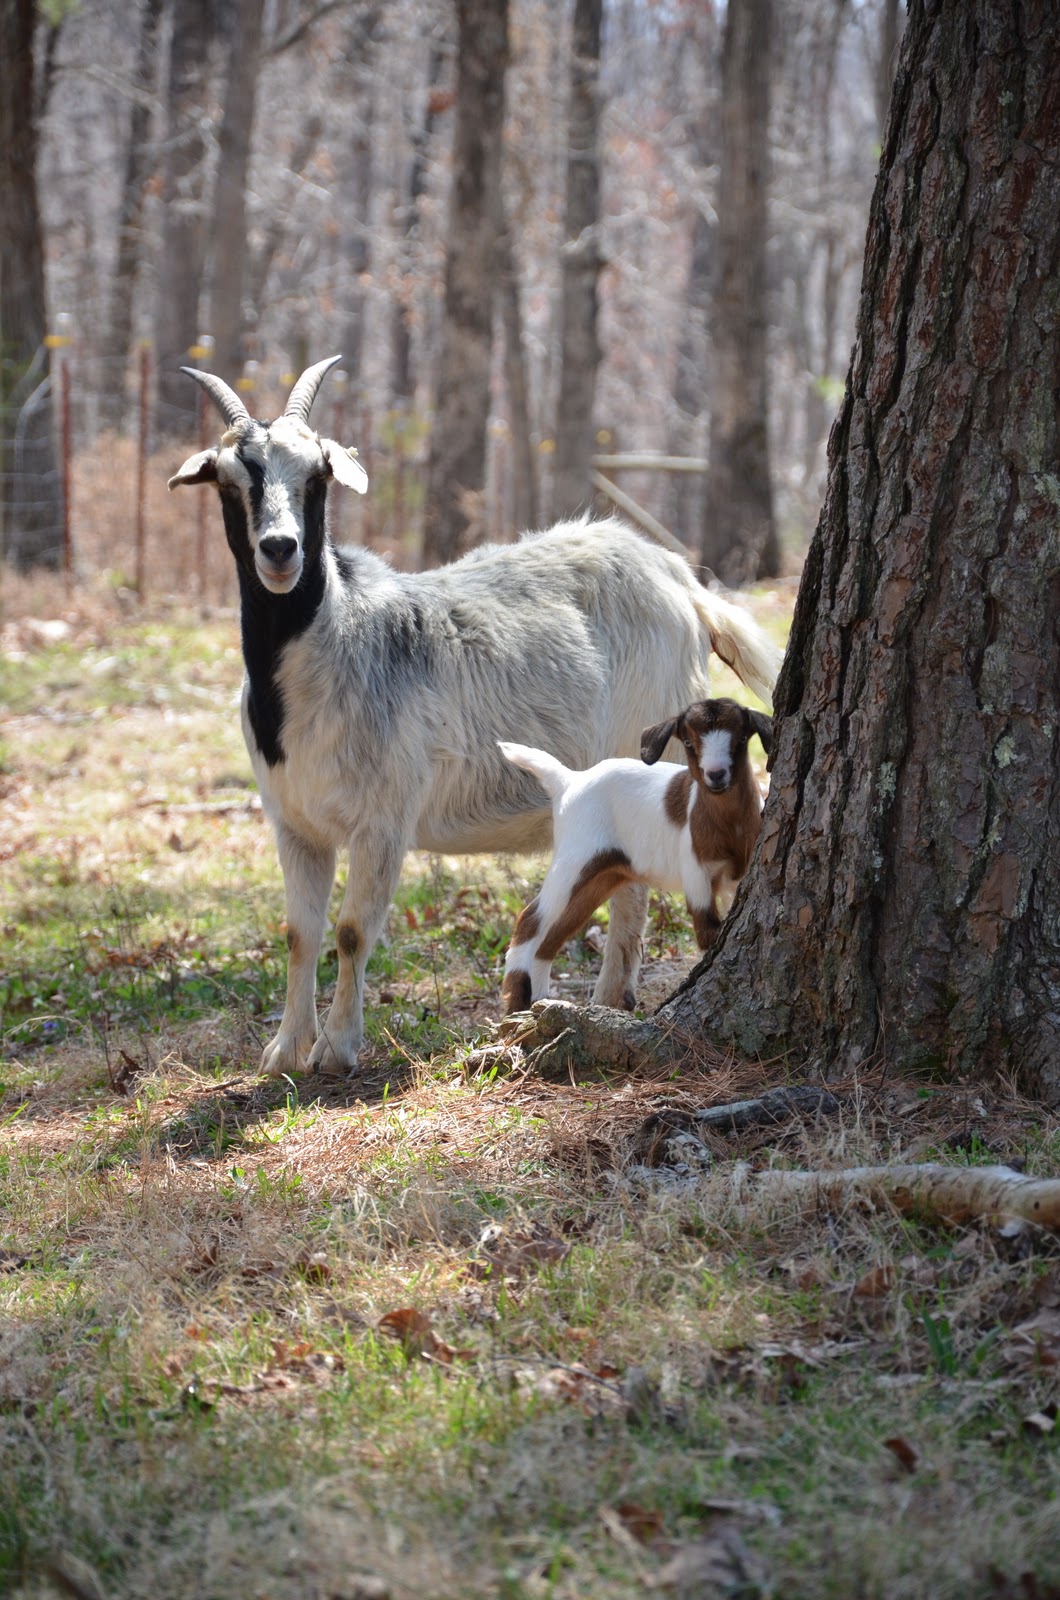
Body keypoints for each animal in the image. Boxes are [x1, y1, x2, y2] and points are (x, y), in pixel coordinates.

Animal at [499, 698, 773, 1014]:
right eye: (689, 742)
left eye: (740, 739)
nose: (716, 775)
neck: (730, 825)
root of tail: (570, 781)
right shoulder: (697, 874)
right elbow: (708, 931)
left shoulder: (736, 879)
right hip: (574, 856)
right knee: (530, 920)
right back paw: (517, 1006)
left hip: (604, 874)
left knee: (551, 937)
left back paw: (542, 1002)